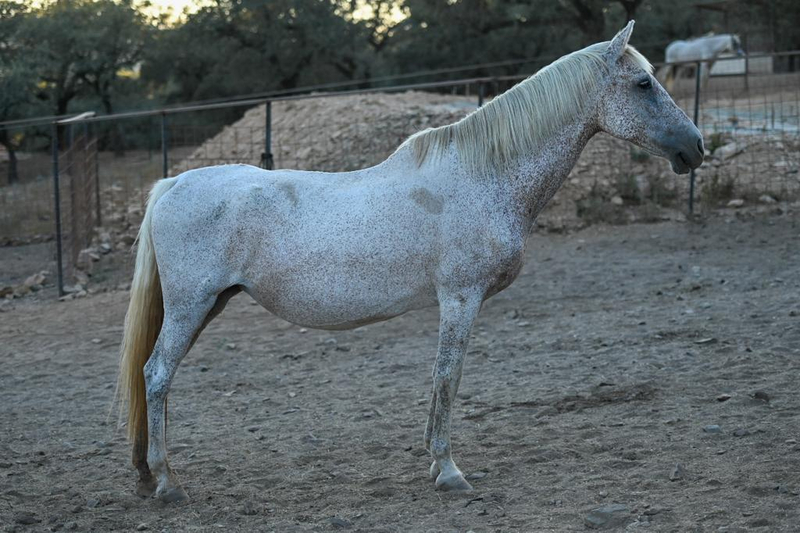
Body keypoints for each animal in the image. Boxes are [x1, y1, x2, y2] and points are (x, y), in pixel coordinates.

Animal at [116, 21, 703, 503]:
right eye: (643, 84)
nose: (695, 148)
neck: (483, 176)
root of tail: (172, 184)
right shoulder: (460, 297)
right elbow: (448, 375)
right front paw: (448, 471)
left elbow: (445, 377)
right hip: (192, 304)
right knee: (157, 374)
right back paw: (167, 482)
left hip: (208, 304)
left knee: (154, 376)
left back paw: (146, 476)